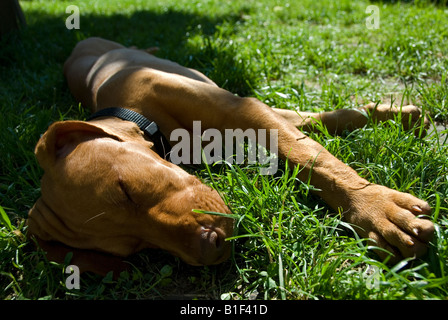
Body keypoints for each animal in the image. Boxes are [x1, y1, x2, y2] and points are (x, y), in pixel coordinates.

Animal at [27, 37, 434, 272]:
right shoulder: (258, 113)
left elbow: (310, 153)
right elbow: (316, 126)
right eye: (134, 248)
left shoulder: (242, 108)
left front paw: (374, 206)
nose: (211, 249)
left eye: (125, 189)